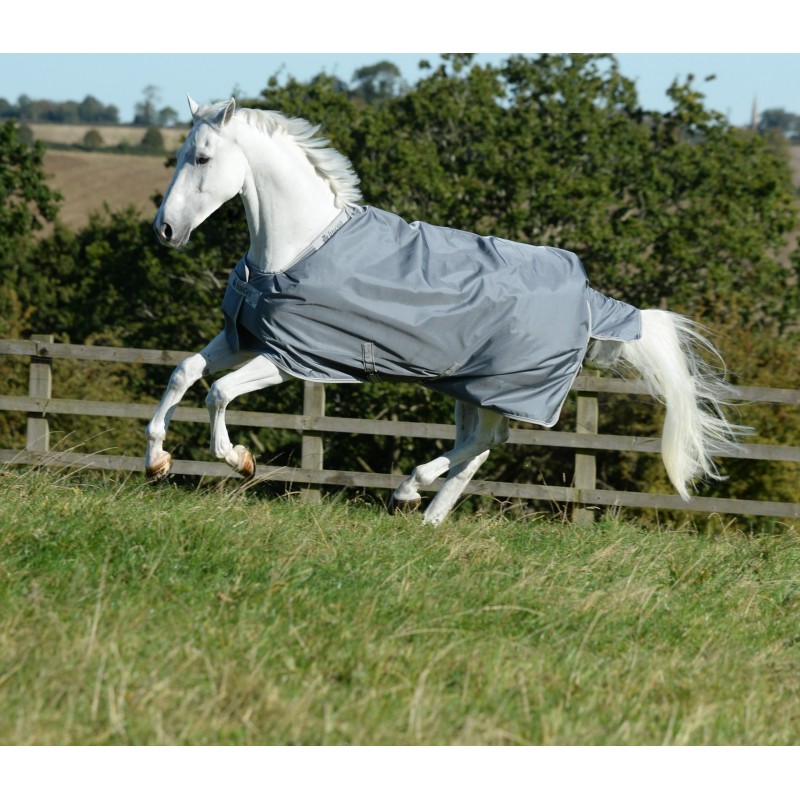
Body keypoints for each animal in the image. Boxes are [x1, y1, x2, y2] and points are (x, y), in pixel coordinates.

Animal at [146, 96, 747, 526]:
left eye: (202, 158)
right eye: (177, 157)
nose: (166, 231)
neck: (297, 246)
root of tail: (591, 299)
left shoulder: (294, 358)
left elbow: (219, 393)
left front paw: (239, 459)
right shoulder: (243, 337)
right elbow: (184, 373)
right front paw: (156, 460)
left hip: (504, 388)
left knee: (483, 444)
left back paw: (408, 490)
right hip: (471, 387)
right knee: (479, 448)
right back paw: (429, 517)